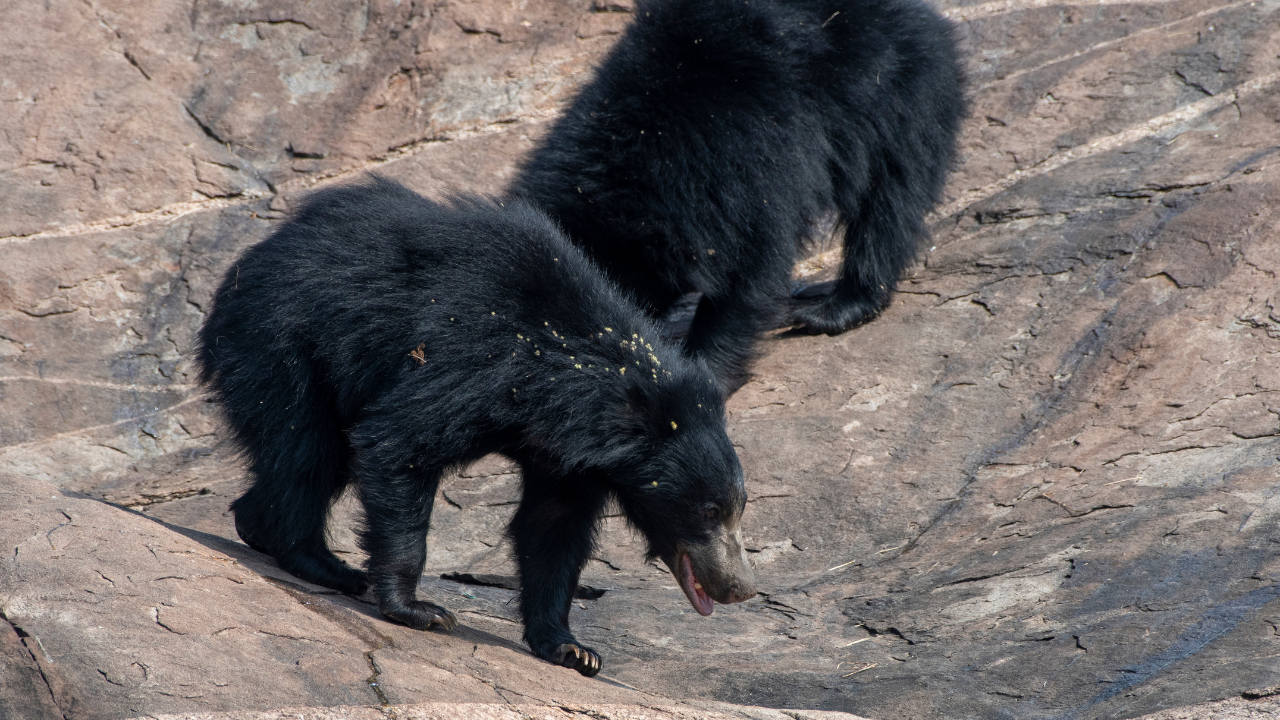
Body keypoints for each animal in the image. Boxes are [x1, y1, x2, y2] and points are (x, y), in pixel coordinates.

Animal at [196, 177, 757, 677]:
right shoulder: (472, 363)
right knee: (305, 450)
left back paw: (258, 526)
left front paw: (573, 649)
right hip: (282, 344)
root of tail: (251, 260)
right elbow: (399, 442)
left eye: (737, 510)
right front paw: (419, 610)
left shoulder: (569, 458)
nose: (741, 588)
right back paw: (326, 566)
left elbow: (553, 527)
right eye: (709, 511)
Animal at [510, 0, 966, 393]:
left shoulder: (747, 168)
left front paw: (702, 373)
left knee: (890, 200)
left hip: (899, 92)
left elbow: (752, 273)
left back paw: (831, 308)